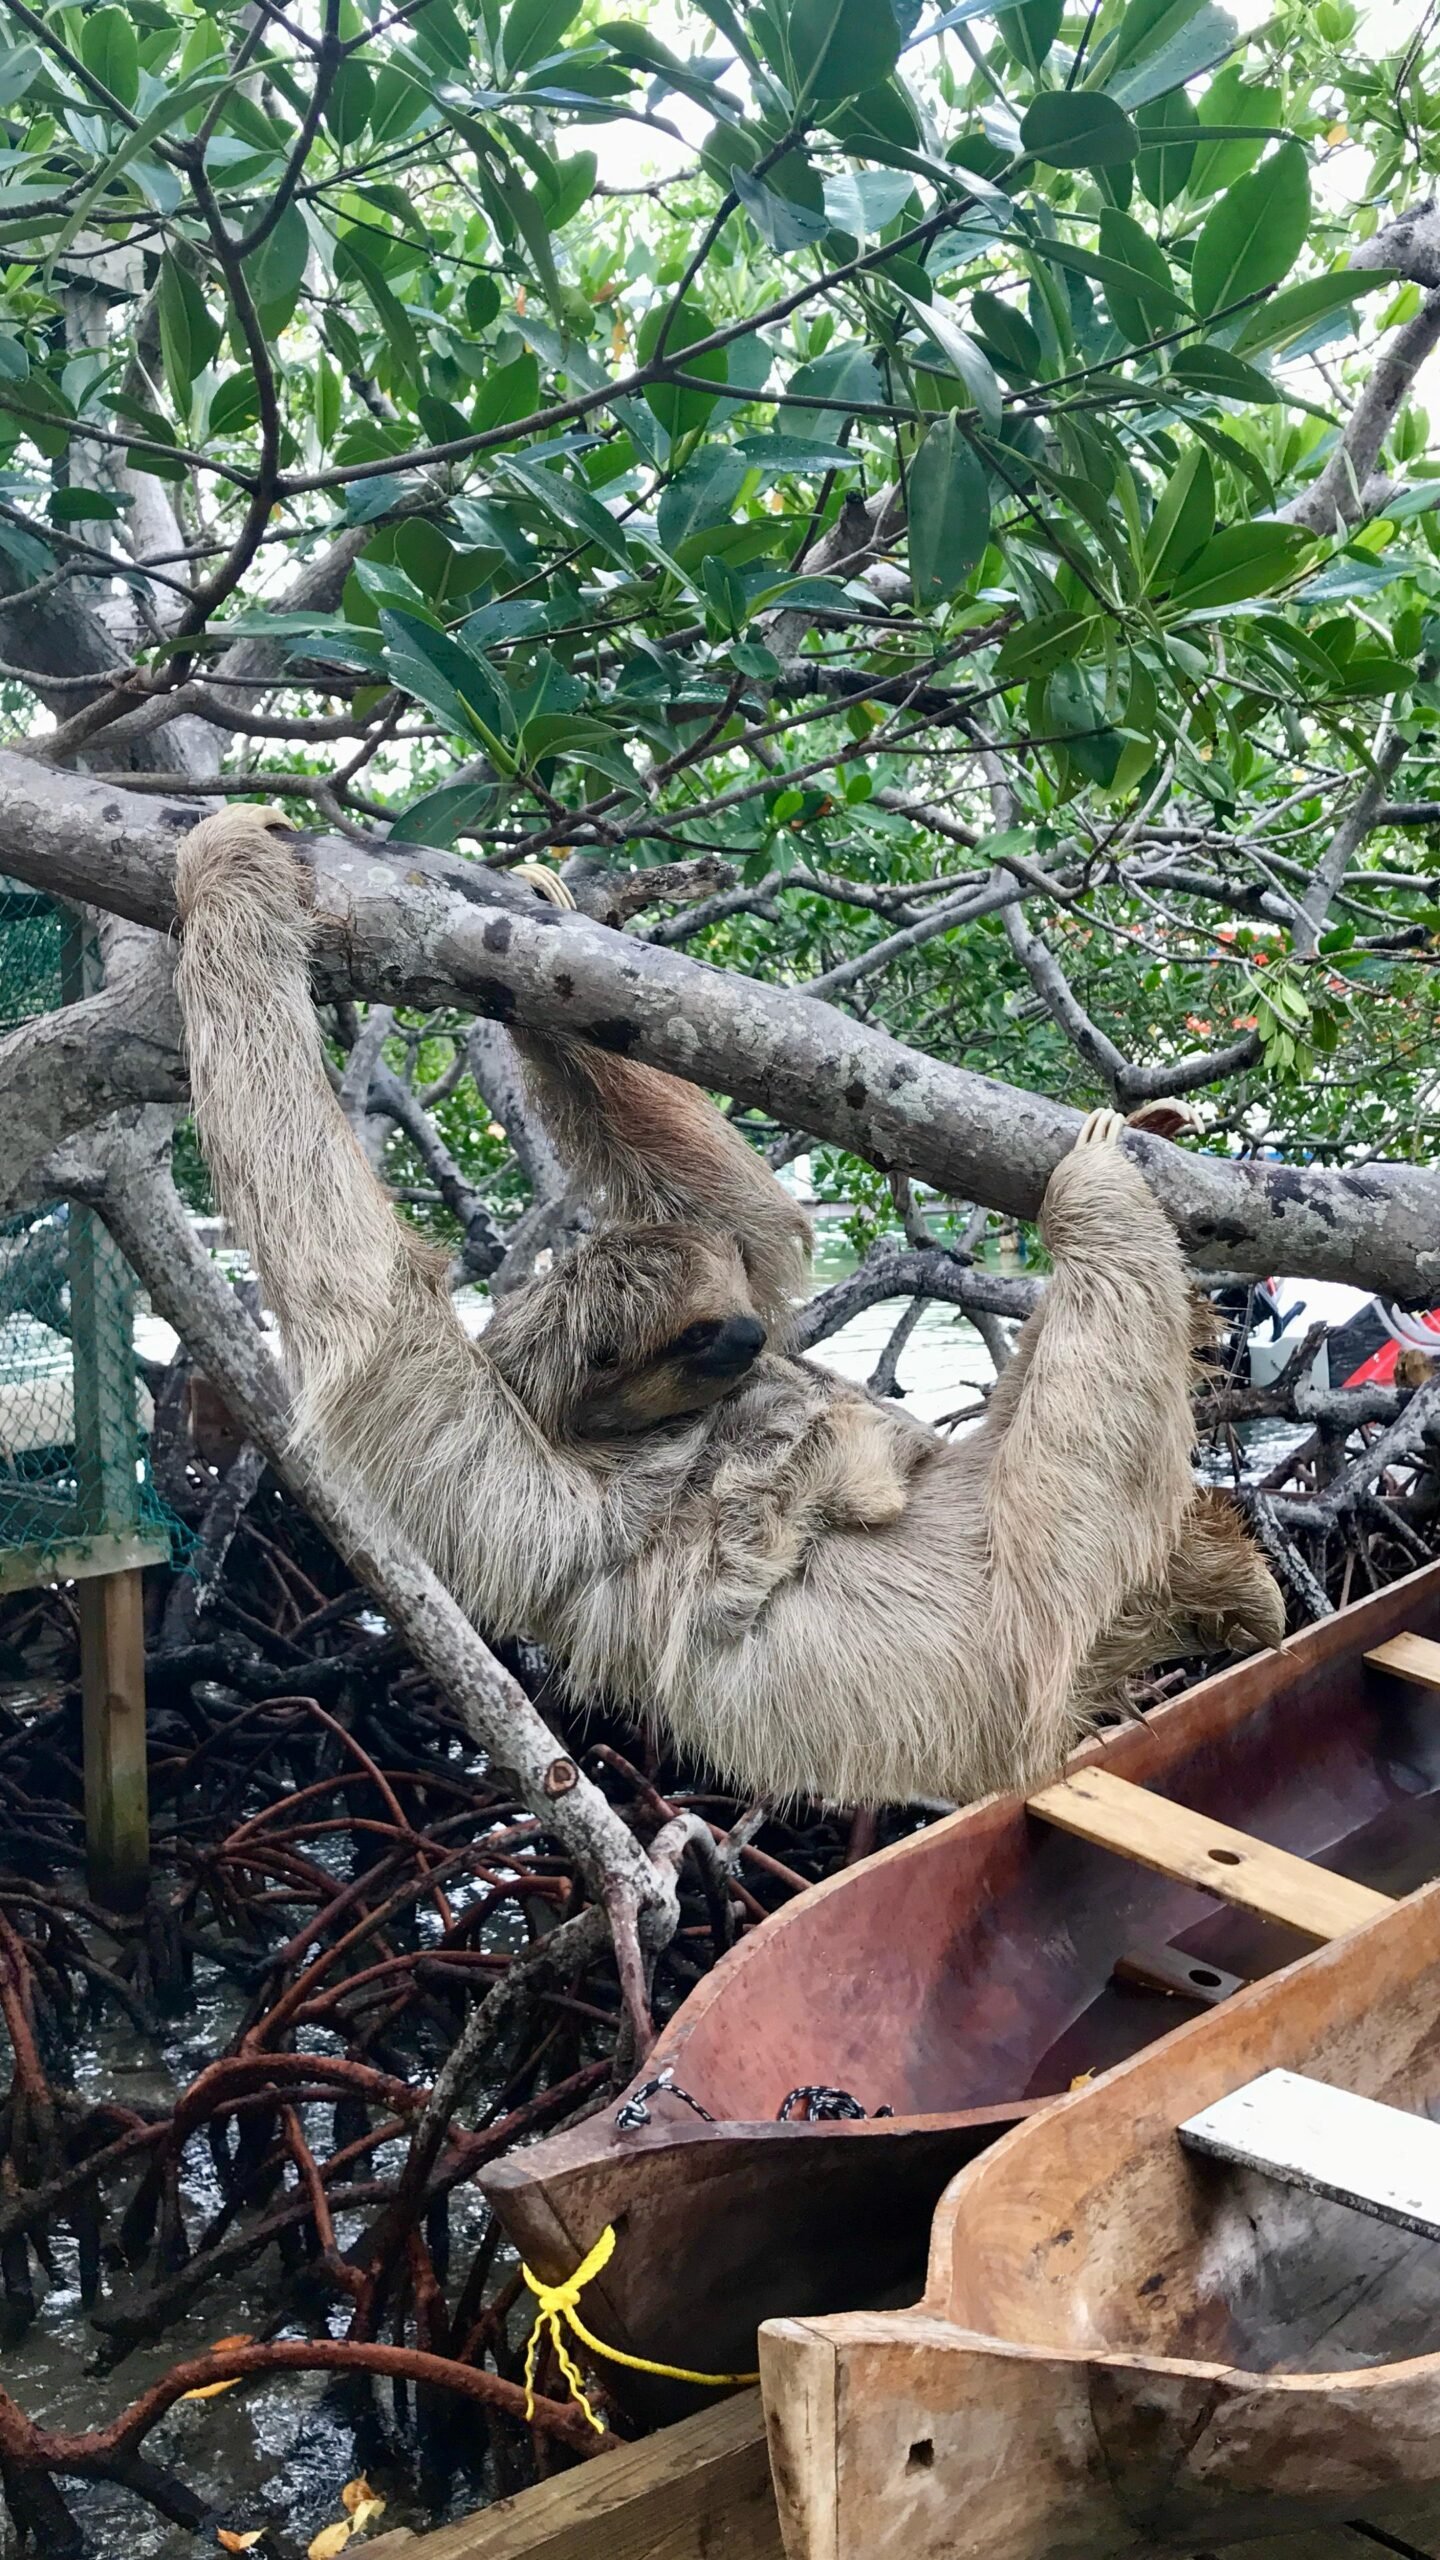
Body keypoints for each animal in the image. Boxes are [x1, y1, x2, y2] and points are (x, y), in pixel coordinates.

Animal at [173, 807, 1285, 1811]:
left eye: (726, 1309)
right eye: (693, 1336)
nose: (748, 1337)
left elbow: (749, 1215)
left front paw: (543, 908)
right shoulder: (515, 1481)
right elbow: (367, 1307)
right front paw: (228, 870)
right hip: (1037, 1608)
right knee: (1092, 1392)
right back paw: (1098, 1197)